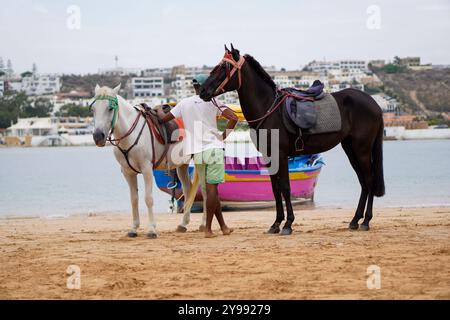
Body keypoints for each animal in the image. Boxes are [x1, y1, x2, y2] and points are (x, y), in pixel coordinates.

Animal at [90, 84, 203, 239]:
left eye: (110, 108)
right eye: (93, 109)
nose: (98, 136)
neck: (130, 135)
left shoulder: (147, 169)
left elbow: (148, 199)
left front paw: (151, 229)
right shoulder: (128, 173)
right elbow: (134, 199)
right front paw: (134, 228)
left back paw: (204, 224)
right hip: (182, 166)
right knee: (187, 189)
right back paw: (183, 224)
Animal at [201, 44, 386, 235]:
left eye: (224, 67)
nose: (202, 90)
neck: (268, 108)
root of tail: (374, 104)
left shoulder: (281, 155)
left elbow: (285, 188)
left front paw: (288, 224)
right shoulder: (269, 157)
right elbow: (275, 189)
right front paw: (276, 223)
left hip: (362, 150)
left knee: (369, 180)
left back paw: (366, 221)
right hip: (350, 149)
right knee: (364, 182)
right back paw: (355, 220)